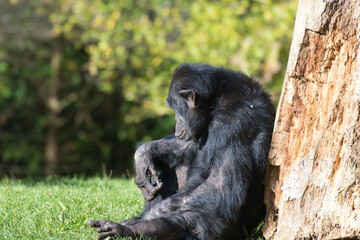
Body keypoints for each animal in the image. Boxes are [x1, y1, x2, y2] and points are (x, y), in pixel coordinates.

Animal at [87, 63, 276, 240]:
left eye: (176, 109)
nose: (176, 121)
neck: (215, 102)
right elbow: (192, 145)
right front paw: (143, 154)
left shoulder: (233, 124)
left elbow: (218, 185)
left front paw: (145, 218)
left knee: (192, 220)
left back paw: (131, 229)